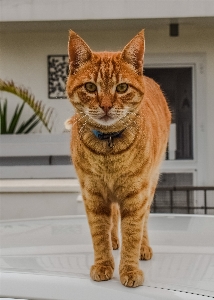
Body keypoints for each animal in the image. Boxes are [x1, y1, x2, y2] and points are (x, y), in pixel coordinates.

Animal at [66, 29, 171, 288]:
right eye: (90, 87)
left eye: (122, 87)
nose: (105, 106)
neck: (109, 147)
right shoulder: (92, 193)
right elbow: (99, 234)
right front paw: (104, 264)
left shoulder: (136, 194)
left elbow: (133, 231)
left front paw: (130, 269)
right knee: (113, 217)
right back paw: (115, 239)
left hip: (151, 183)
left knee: (144, 221)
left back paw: (144, 247)